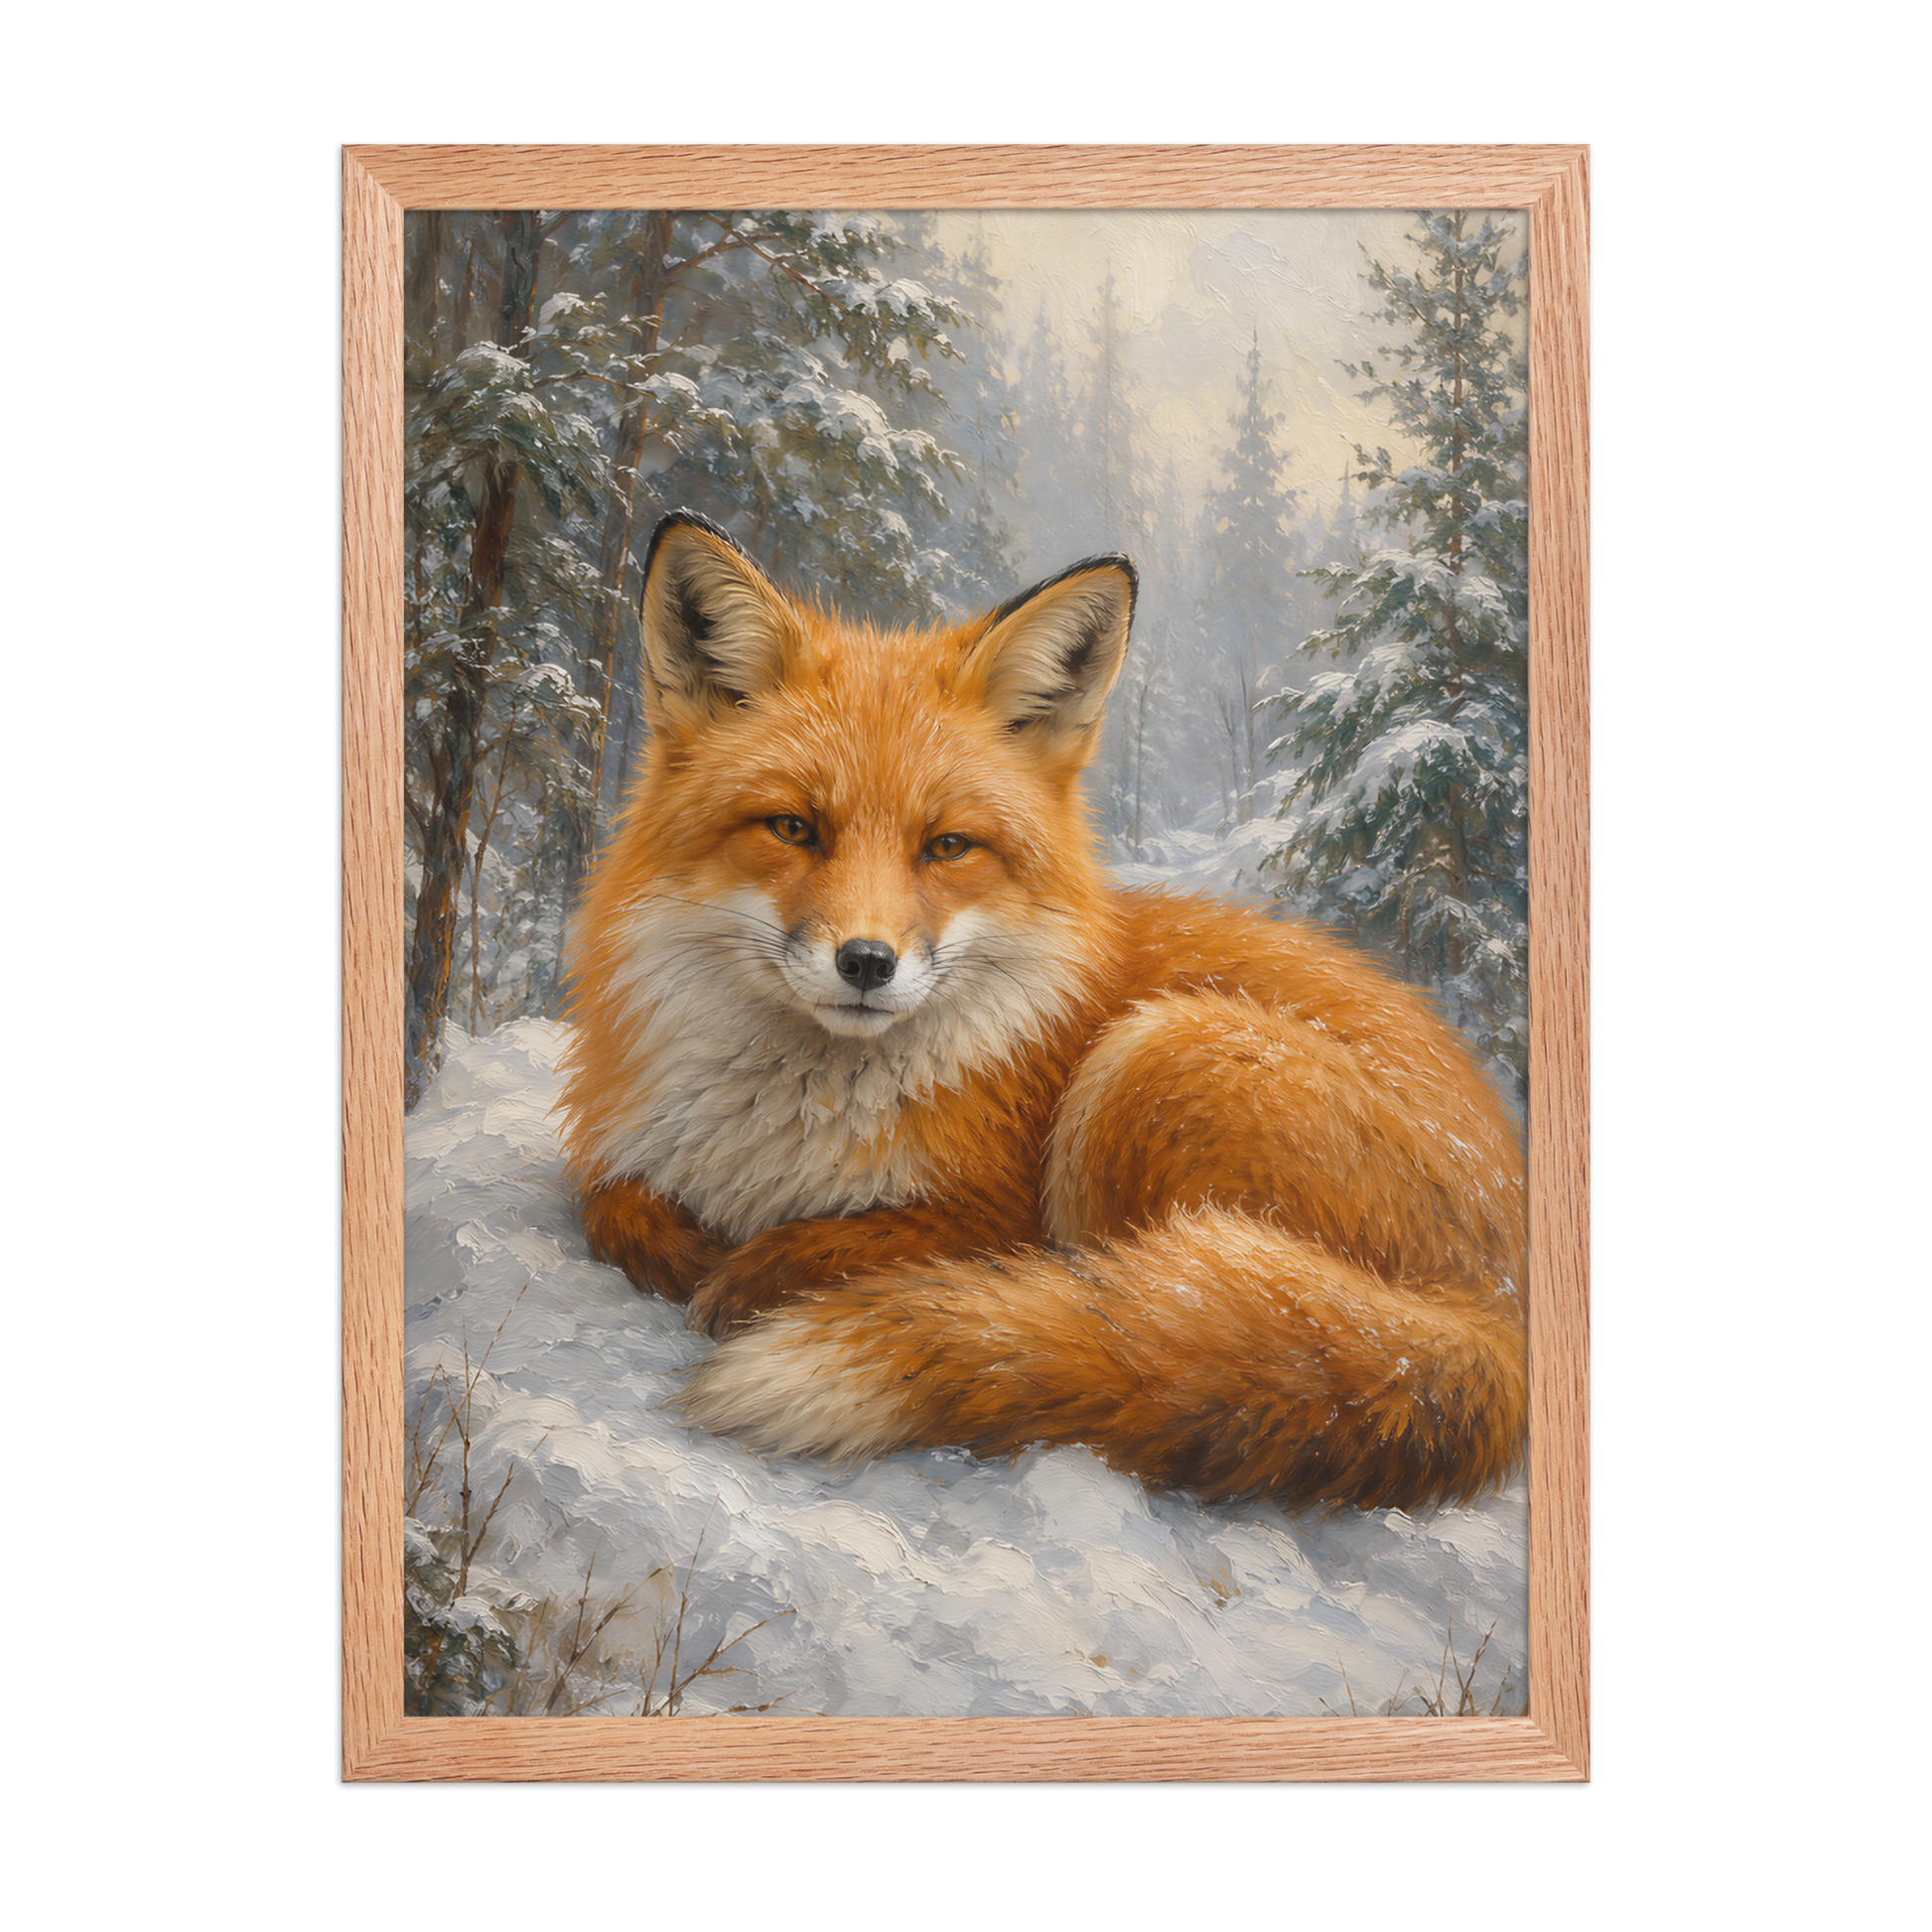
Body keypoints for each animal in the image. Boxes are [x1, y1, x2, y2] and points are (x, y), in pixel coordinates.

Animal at [556, 509, 1527, 1513]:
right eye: (793, 828)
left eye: (947, 846)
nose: (866, 962)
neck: (781, 1131)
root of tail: (1504, 1306)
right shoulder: (628, 1153)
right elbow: (611, 1204)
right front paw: (685, 1250)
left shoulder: (996, 1210)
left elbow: (873, 1242)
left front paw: (760, 1272)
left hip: (1155, 1056)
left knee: (1136, 1311)